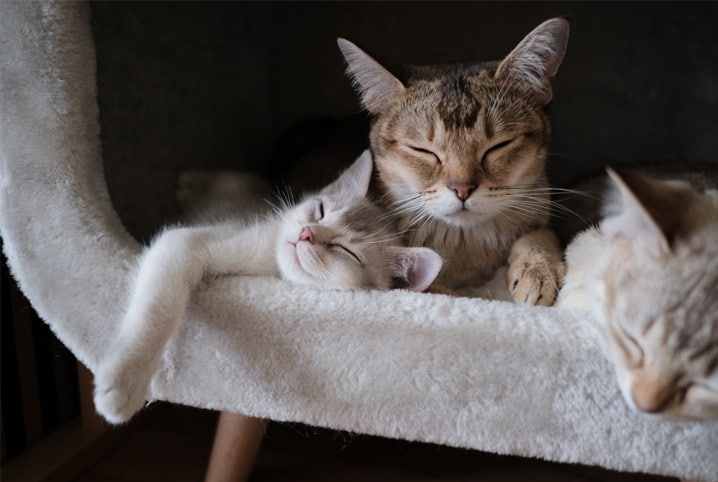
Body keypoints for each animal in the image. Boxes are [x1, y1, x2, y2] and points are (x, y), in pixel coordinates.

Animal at [94, 151, 444, 422]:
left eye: (347, 251)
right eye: (320, 212)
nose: (307, 233)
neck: (268, 266)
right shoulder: (188, 243)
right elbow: (159, 307)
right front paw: (125, 381)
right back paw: (189, 181)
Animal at [340, 19, 572, 306]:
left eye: (499, 145)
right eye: (422, 150)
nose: (462, 189)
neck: (464, 242)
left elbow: (542, 233)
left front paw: (538, 267)